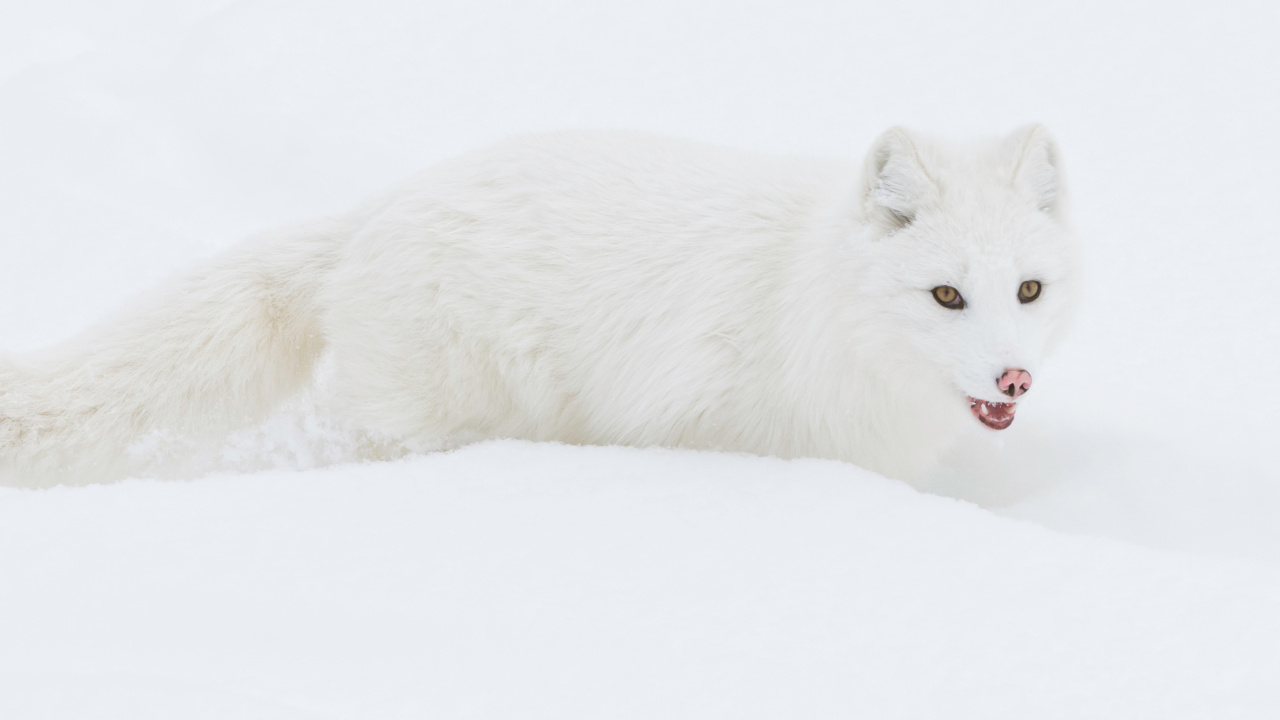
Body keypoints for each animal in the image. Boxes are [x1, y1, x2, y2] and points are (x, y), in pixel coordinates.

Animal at [2, 126, 1080, 484]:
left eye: (1028, 289)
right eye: (945, 294)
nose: (1014, 377)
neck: (805, 303)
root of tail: (371, 215)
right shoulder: (687, 421)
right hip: (428, 417)